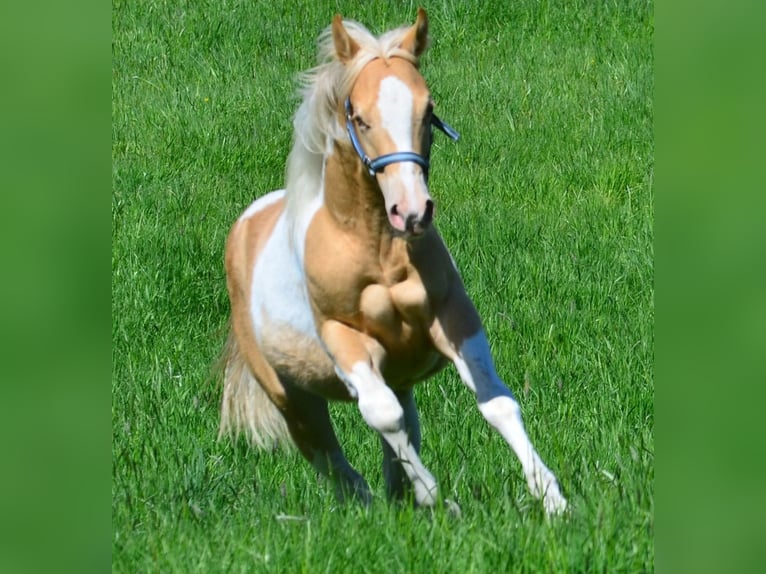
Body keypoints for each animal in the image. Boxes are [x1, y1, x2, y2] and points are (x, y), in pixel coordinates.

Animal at [219, 9, 567, 514]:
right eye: (360, 119)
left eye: (428, 110)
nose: (413, 212)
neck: (378, 253)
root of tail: (247, 224)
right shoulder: (343, 340)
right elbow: (382, 417)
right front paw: (437, 497)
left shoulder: (454, 318)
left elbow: (497, 403)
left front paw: (552, 498)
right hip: (293, 398)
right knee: (334, 459)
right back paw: (381, 507)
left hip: (396, 375)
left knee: (397, 432)